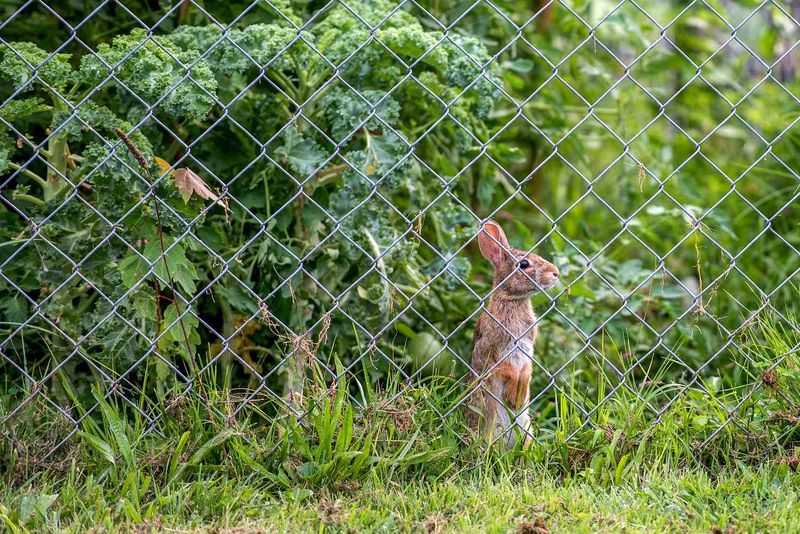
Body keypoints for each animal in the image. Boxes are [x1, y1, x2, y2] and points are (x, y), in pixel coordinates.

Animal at [466, 220, 560, 446]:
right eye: (523, 265)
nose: (556, 272)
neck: (513, 300)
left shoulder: (527, 348)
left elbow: (526, 371)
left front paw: (518, 396)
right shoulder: (491, 350)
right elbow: (506, 369)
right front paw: (511, 396)